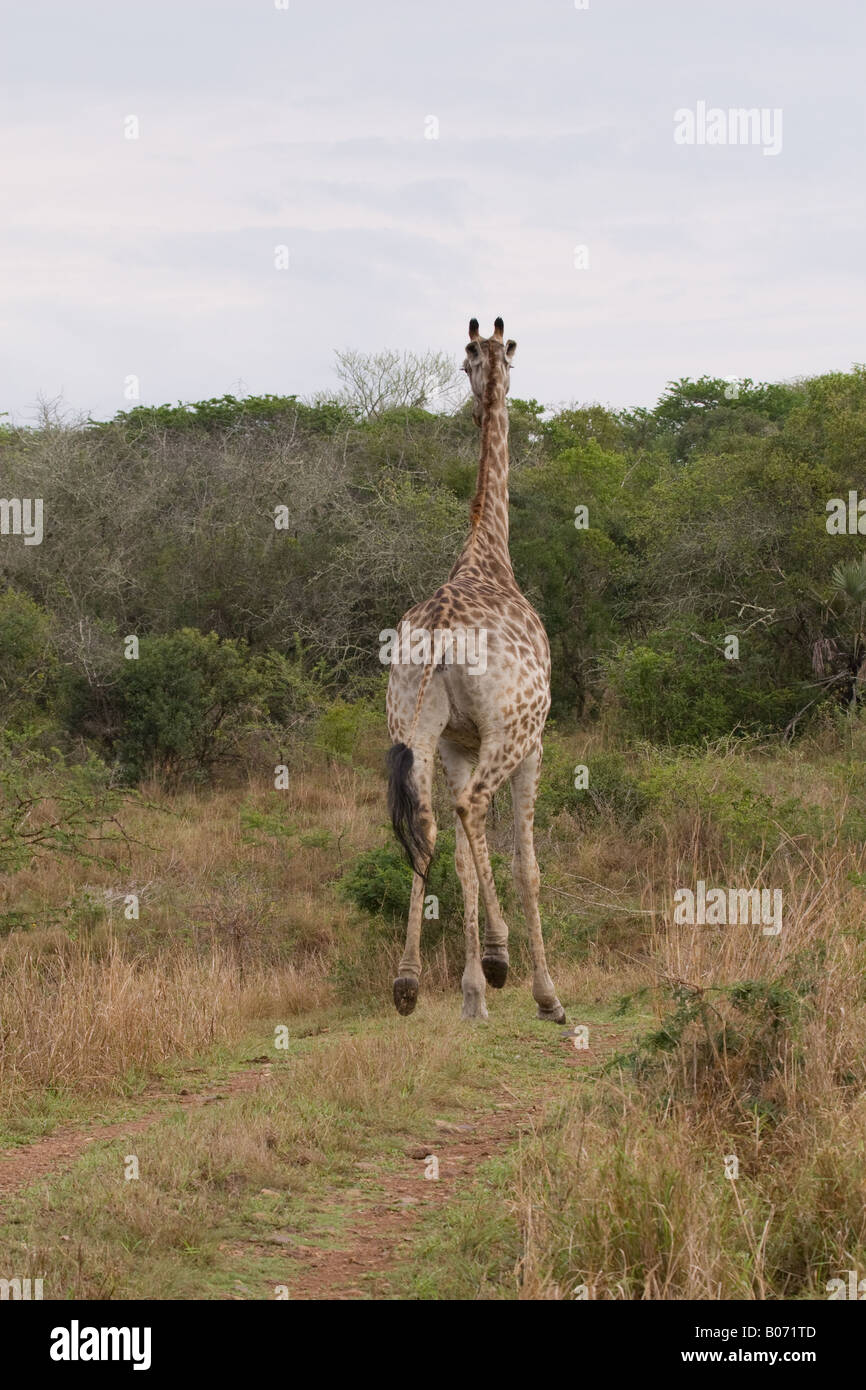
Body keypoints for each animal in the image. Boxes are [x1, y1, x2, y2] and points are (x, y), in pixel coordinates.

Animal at [384, 317, 566, 1024]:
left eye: (468, 363)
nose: (471, 401)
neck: (490, 555)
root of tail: (437, 630)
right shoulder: (532, 741)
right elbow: (526, 865)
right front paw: (519, 978)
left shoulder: (456, 742)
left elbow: (464, 857)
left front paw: (471, 979)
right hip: (506, 734)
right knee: (469, 810)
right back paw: (515, 978)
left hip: (412, 727)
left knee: (428, 828)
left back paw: (412, 983)